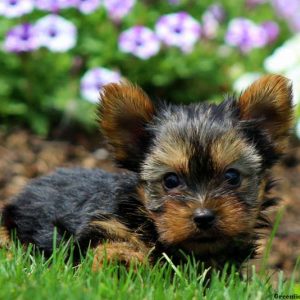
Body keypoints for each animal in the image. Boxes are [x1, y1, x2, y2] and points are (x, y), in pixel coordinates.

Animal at [0, 74, 294, 270]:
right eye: (170, 180)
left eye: (232, 176)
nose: (203, 217)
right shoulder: (104, 224)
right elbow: (110, 248)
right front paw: (122, 263)